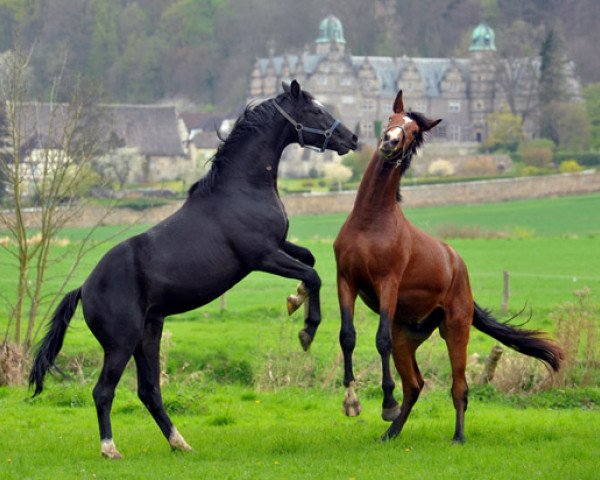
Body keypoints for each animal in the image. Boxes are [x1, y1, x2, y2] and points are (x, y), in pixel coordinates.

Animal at [29, 80, 356, 460]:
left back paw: (180, 443)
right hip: (121, 343)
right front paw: (306, 330)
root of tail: (85, 288)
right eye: (316, 110)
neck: (242, 189)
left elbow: (310, 261)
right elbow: (312, 274)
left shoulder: (279, 245)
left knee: (149, 392)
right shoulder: (261, 256)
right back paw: (111, 449)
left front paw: (295, 300)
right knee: (103, 391)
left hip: (148, 335)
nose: (352, 138)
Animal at [332, 90, 564, 442]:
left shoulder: (388, 283)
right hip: (407, 338)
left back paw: (457, 436)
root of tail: (458, 266)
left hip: (456, 329)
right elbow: (347, 336)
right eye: (390, 118)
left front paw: (386, 404)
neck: (371, 222)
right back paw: (391, 434)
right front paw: (351, 403)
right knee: (415, 385)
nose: (389, 141)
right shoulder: (345, 280)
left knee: (459, 387)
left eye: (414, 131)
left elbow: (380, 339)